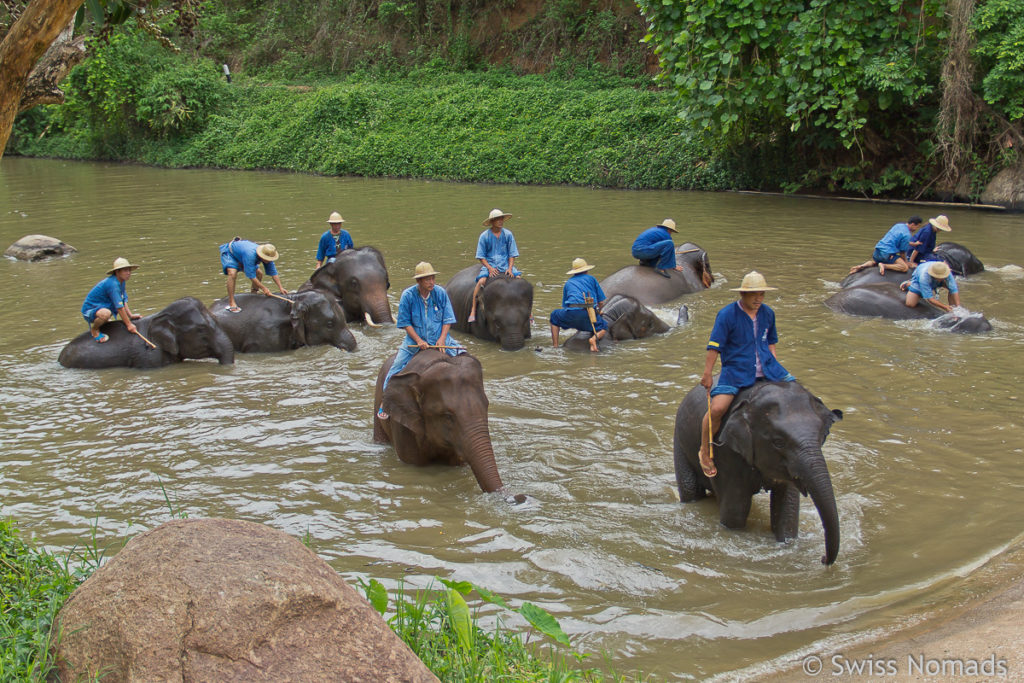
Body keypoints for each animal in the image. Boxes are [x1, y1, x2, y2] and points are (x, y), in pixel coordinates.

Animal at [671, 382, 839, 565]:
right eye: (778, 442)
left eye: (821, 436)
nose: (823, 558)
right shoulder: (726, 452)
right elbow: (736, 511)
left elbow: (787, 511)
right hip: (680, 442)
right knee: (690, 490)